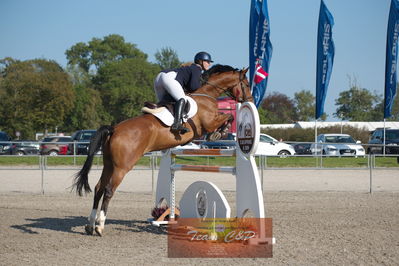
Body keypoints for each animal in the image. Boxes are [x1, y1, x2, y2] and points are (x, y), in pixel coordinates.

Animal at [72, 65, 253, 237]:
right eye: (246, 84)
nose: (249, 100)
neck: (206, 95)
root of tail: (114, 129)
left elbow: (226, 117)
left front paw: (220, 132)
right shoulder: (208, 123)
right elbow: (227, 117)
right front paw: (219, 132)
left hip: (109, 164)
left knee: (98, 188)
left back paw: (90, 225)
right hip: (122, 167)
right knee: (108, 190)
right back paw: (99, 227)